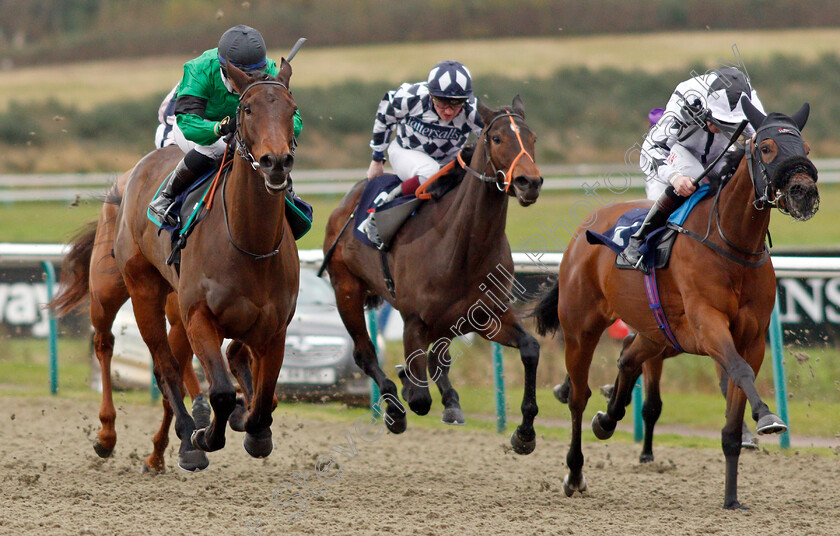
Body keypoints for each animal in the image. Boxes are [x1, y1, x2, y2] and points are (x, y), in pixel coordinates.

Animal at [49, 62, 298, 472]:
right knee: (121, 349)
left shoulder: (274, 328)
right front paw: (203, 435)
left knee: (180, 365)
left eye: (292, 110)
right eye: (247, 110)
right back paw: (117, 433)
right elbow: (221, 391)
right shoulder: (198, 316)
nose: (275, 163)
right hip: (126, 289)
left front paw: (254, 431)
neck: (250, 245)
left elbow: (265, 399)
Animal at [322, 96, 544, 452]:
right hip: (346, 289)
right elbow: (419, 398)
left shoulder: (488, 315)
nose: (529, 183)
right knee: (365, 353)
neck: (462, 247)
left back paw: (449, 400)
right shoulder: (414, 321)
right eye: (497, 138)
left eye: (533, 138)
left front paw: (524, 433)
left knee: (438, 358)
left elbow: (530, 349)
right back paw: (395, 404)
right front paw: (403, 396)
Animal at [536, 98, 816, 508]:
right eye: (766, 148)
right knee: (577, 396)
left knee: (627, 359)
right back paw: (574, 472)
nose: (803, 192)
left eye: (806, 149)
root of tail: (582, 232)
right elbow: (739, 371)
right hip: (580, 329)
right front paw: (767, 418)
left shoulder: (750, 339)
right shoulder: (708, 323)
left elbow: (733, 411)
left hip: (655, 331)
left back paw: (606, 419)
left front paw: (732, 498)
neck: (732, 244)